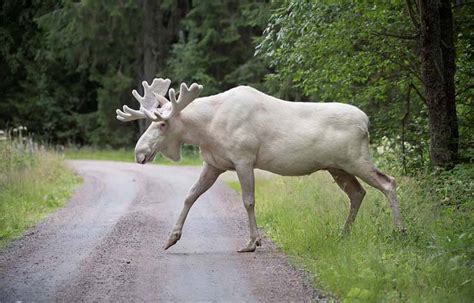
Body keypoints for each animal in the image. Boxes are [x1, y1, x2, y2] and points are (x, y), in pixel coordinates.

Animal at [115, 79, 404, 254]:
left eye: (162, 123)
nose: (139, 152)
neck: (206, 130)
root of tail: (366, 122)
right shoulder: (214, 164)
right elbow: (190, 196)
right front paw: (171, 238)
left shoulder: (244, 158)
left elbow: (248, 201)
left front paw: (252, 242)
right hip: (337, 167)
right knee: (358, 193)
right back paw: (343, 234)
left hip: (356, 159)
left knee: (388, 182)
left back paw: (400, 230)